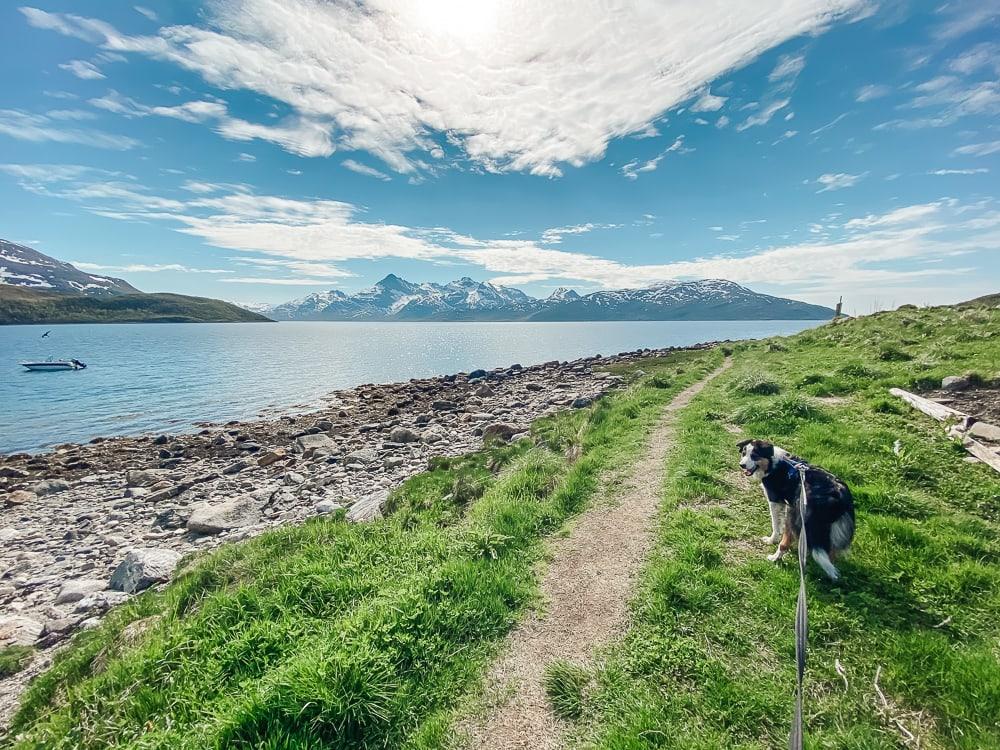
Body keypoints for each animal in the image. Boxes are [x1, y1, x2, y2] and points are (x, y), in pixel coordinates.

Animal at [740, 440, 856, 580]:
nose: (742, 465)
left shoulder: (774, 501)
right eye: (743, 453)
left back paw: (775, 558)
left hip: (796, 514)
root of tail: (840, 495)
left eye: (754, 456)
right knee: (829, 554)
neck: (773, 463)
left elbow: (776, 525)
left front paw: (771, 540)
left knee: (786, 543)